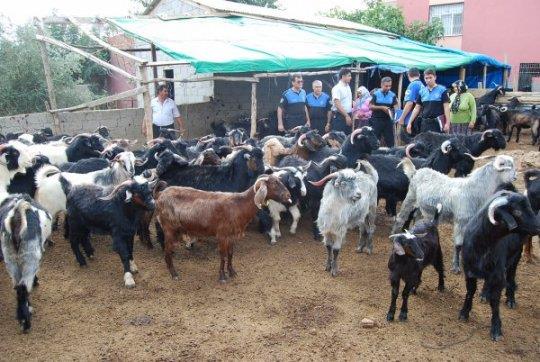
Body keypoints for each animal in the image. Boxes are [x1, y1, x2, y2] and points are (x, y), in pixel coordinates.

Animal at [154, 175, 292, 282]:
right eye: (274, 184)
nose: (288, 195)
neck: (239, 205)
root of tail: (159, 194)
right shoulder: (222, 234)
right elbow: (223, 255)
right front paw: (222, 276)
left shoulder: (231, 235)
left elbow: (230, 254)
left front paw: (232, 272)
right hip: (169, 228)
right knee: (167, 251)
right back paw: (174, 274)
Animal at [460, 191, 540, 340]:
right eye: (517, 211)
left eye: (529, 208)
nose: (539, 227)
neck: (483, 244)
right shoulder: (469, 270)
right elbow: (470, 291)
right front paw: (464, 313)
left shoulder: (497, 275)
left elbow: (495, 301)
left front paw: (496, 329)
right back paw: (484, 294)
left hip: (515, 255)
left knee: (511, 276)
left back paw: (510, 299)